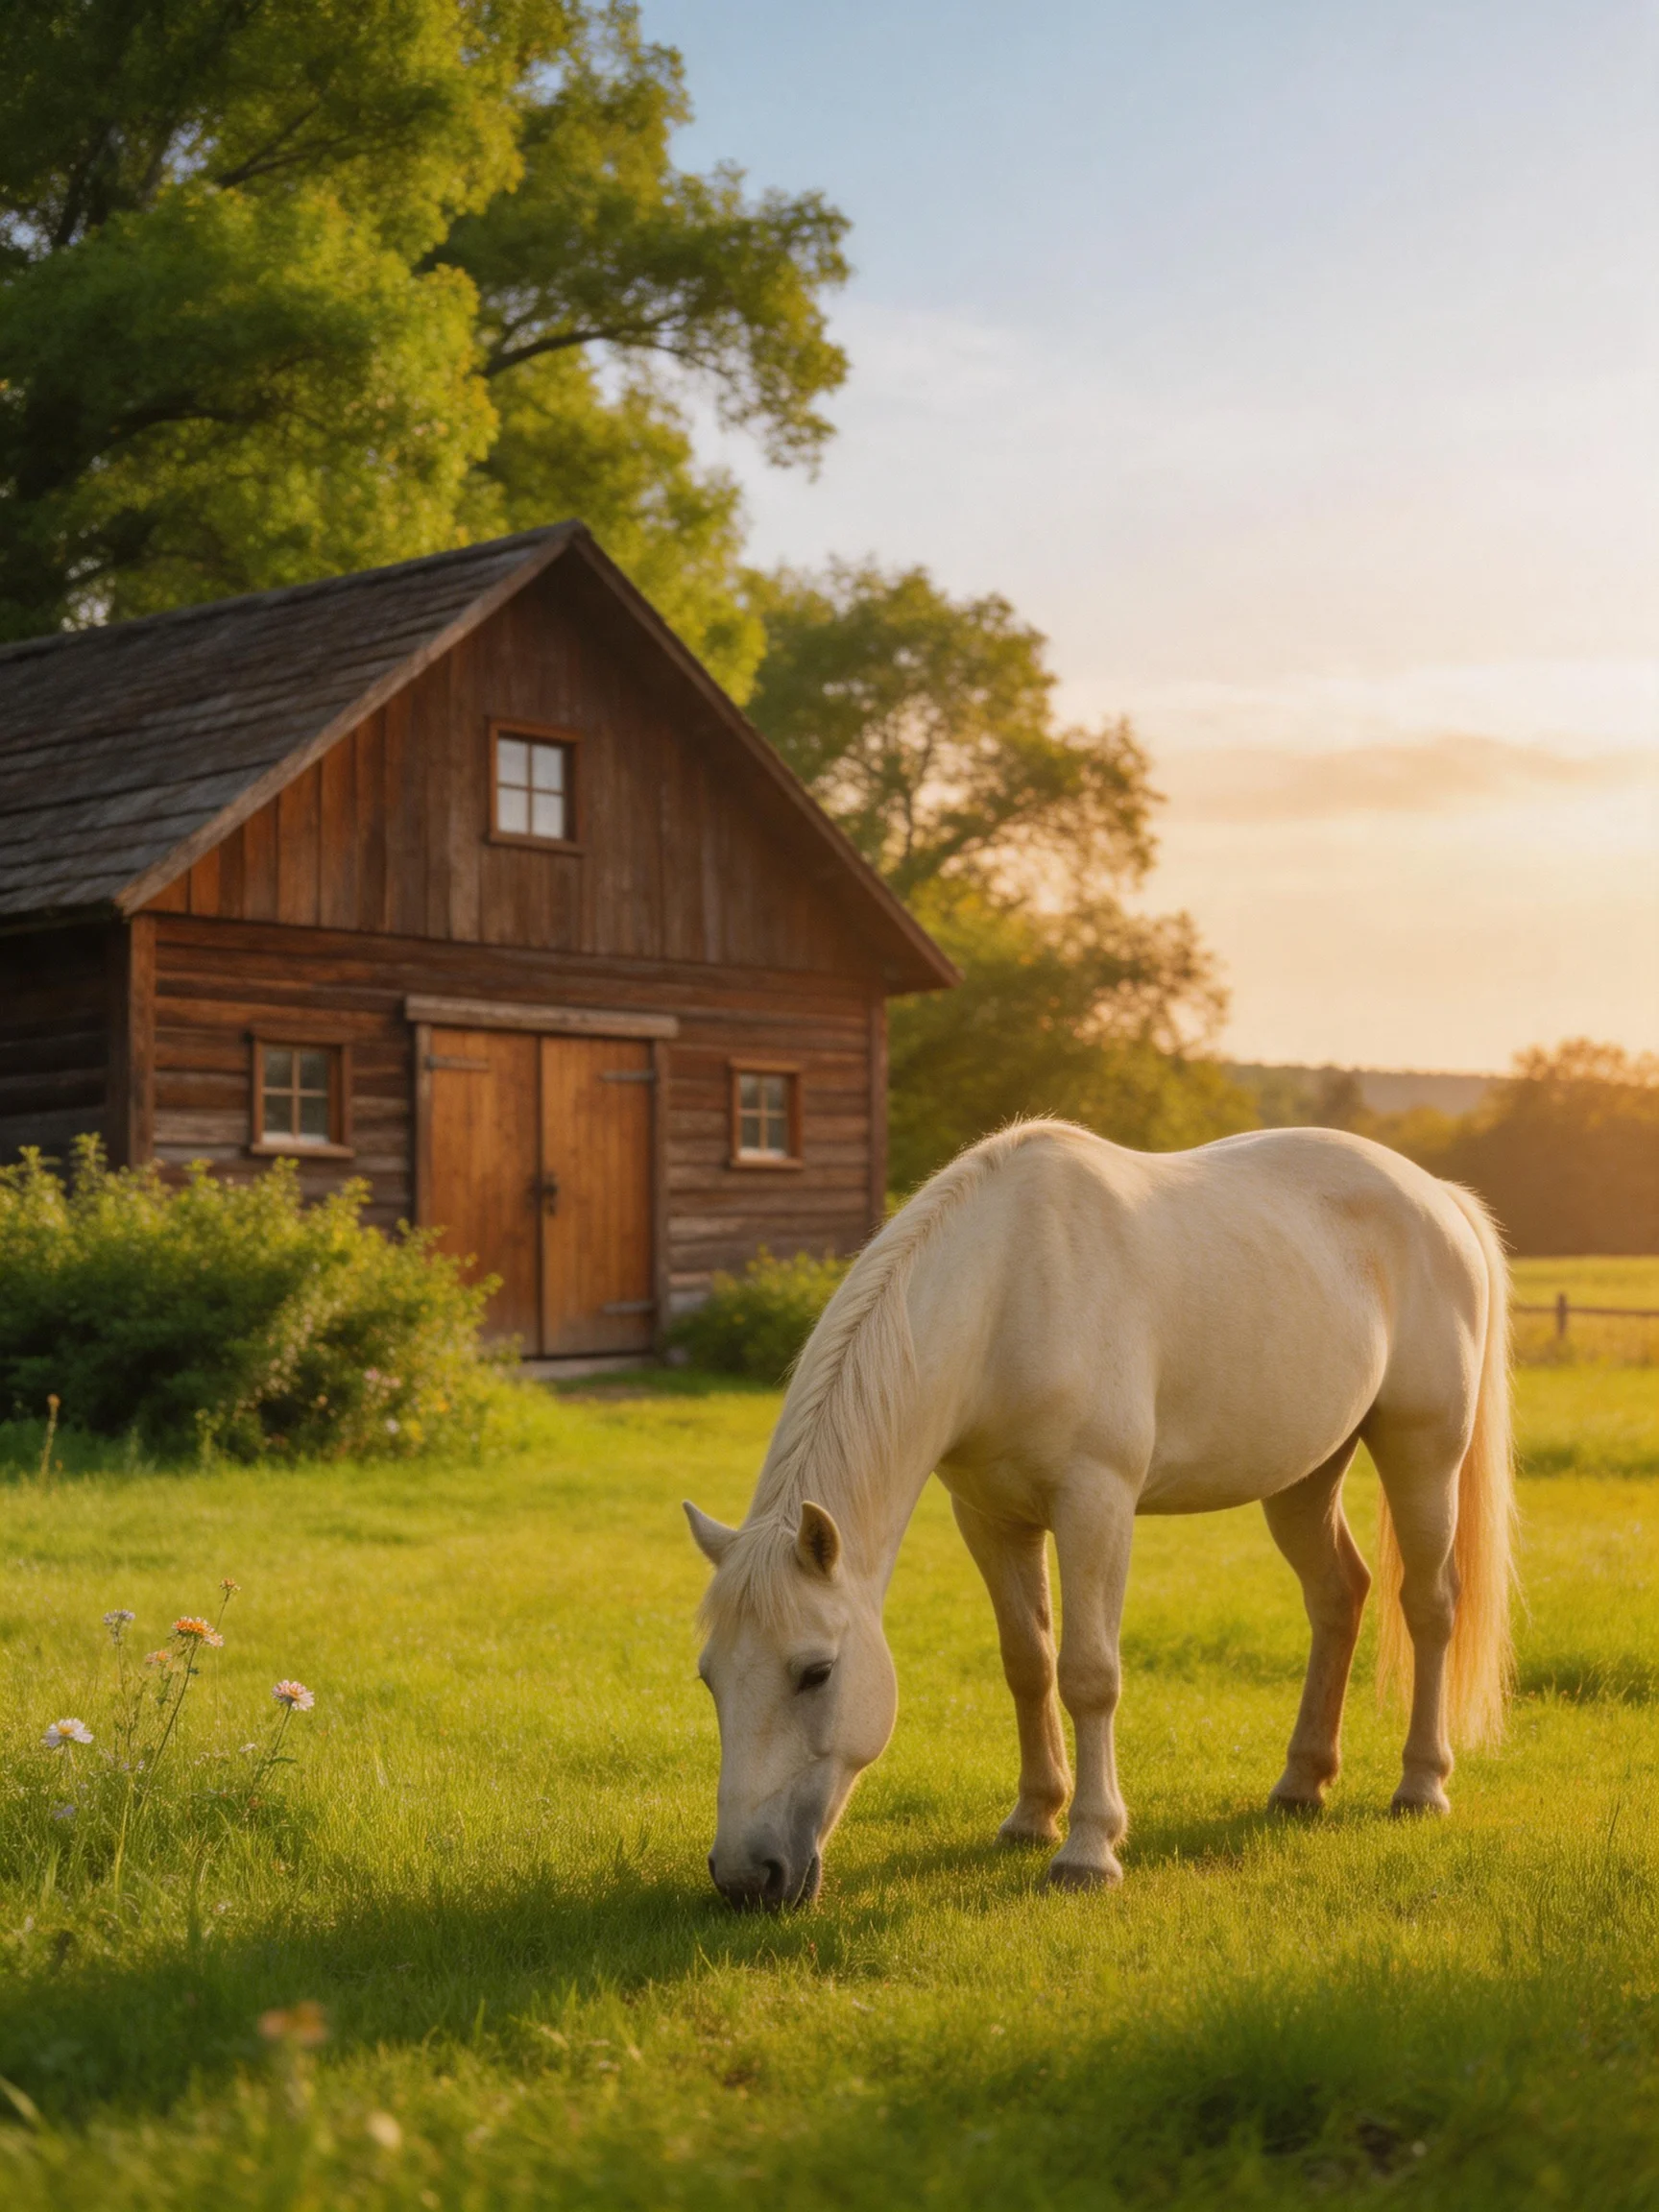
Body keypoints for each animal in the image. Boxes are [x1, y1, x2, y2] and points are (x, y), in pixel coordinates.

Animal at [685, 1118, 1514, 1907]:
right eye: (708, 1677)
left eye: (816, 1672)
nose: (746, 1877)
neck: (1010, 1292)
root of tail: (1439, 1197)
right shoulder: (990, 1518)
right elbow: (1027, 1663)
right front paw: (1031, 1817)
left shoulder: (1096, 1505)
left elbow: (1088, 1673)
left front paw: (1088, 1851)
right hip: (1304, 1478)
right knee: (1339, 1596)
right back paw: (1301, 1784)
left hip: (1423, 1452)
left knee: (1429, 1605)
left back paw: (1420, 1785)